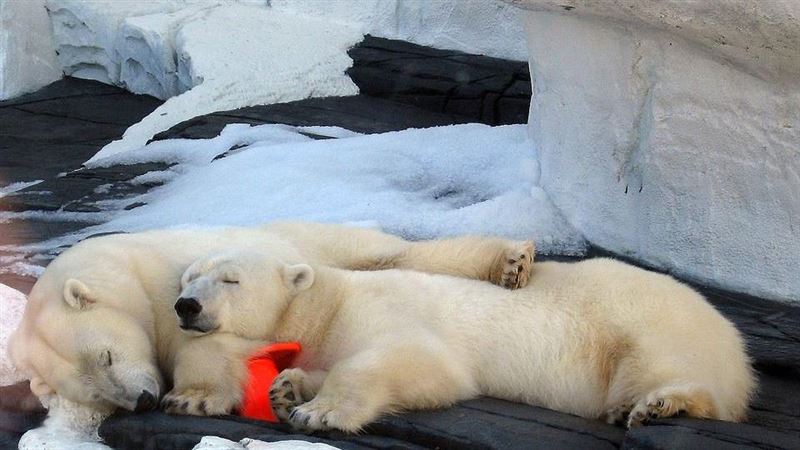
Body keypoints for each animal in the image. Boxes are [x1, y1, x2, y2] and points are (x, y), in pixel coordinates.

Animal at [9, 222, 534, 413]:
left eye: (108, 355)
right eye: (95, 394)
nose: (140, 401)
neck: (128, 270)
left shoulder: (172, 286)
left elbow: (208, 343)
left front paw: (194, 397)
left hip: (323, 242)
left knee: (400, 254)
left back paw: (511, 263)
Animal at [169, 249, 755, 431]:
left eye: (230, 279)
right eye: (188, 277)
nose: (185, 306)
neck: (328, 304)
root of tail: (736, 345)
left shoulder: (383, 312)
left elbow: (421, 363)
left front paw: (319, 412)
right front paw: (288, 387)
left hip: (644, 322)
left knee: (666, 367)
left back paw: (659, 405)